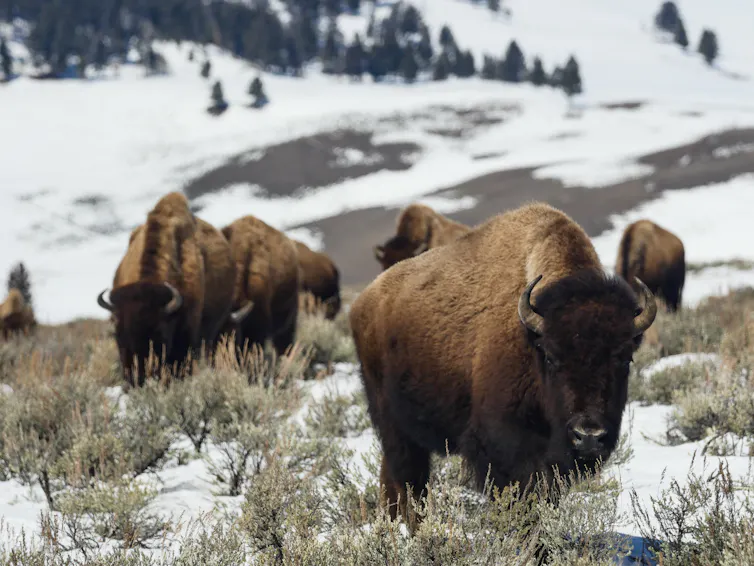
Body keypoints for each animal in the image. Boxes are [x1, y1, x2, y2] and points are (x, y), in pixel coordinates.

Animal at [350, 202, 657, 529]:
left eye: (624, 358)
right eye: (552, 356)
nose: (588, 435)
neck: (531, 336)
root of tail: (362, 304)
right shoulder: (505, 447)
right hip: (395, 427)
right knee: (410, 482)